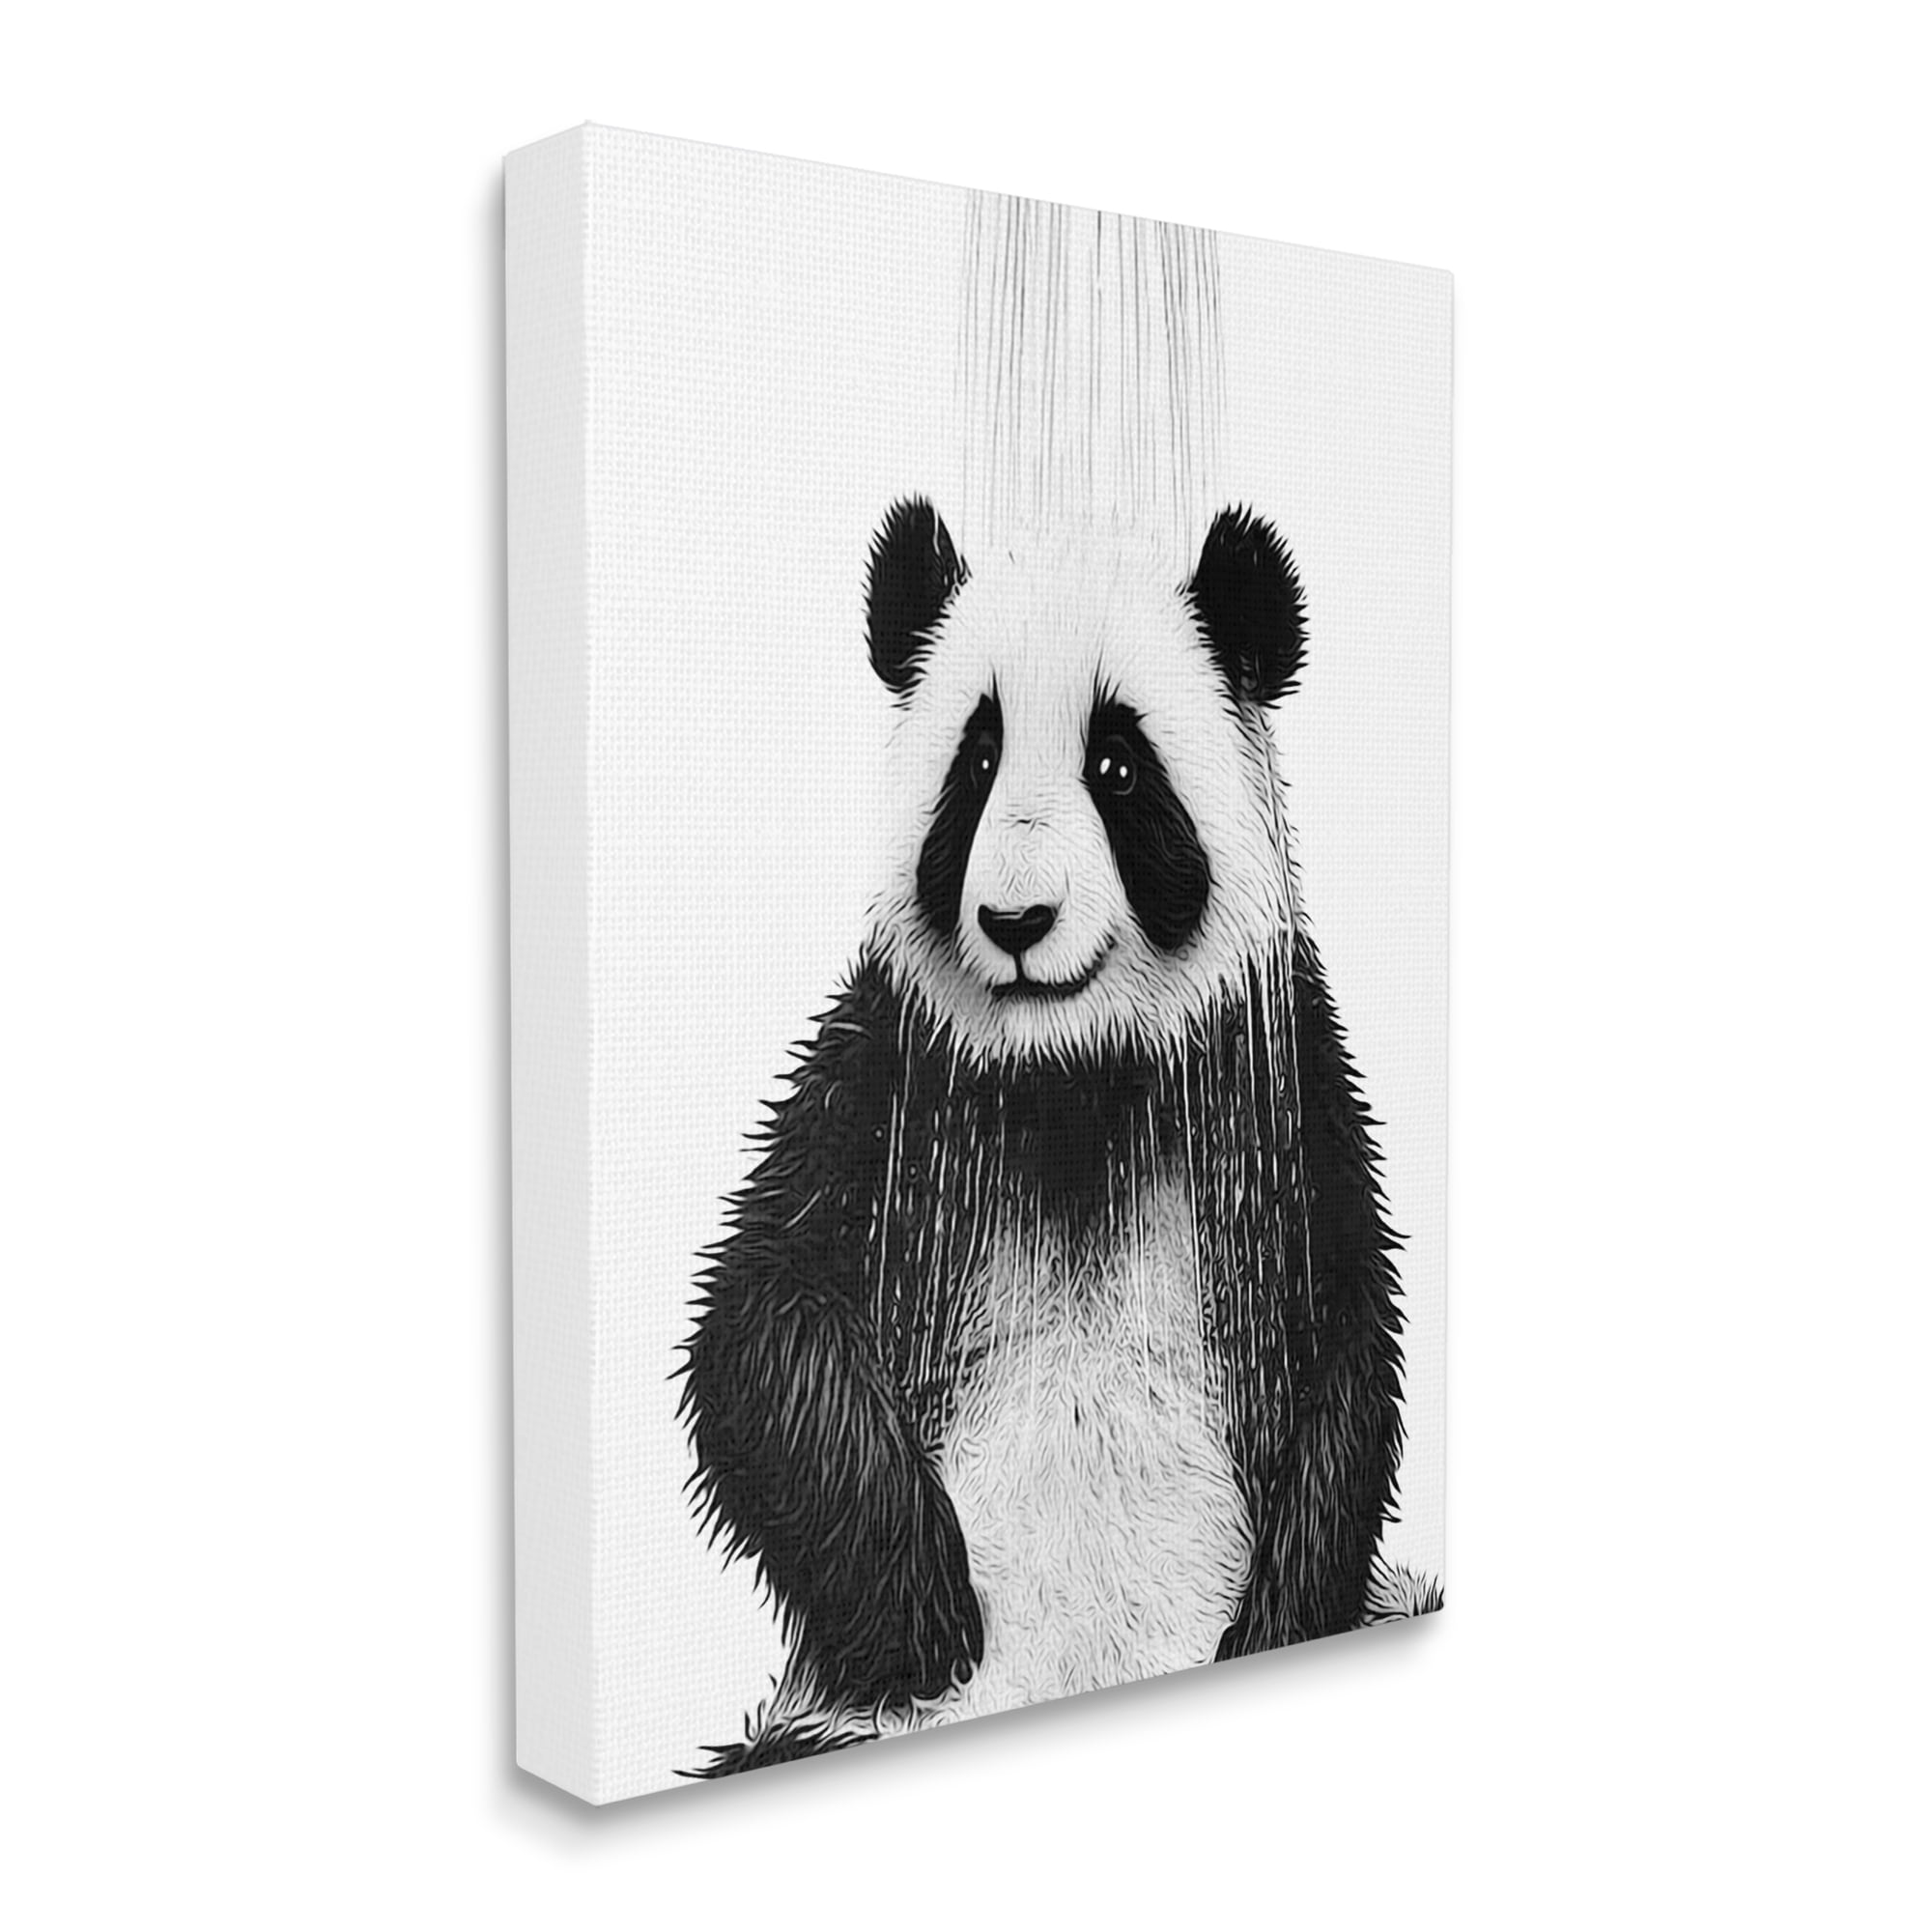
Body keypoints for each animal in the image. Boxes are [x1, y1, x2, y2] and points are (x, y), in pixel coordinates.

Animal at [681, 499, 1413, 1775]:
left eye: (1116, 766)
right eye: (974, 764)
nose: (1016, 919)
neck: (1073, 1071)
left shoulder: (1269, 1070)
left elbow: (1344, 1344)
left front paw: (1274, 1621)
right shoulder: (892, 1066)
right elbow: (763, 1311)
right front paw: (924, 1611)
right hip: (821, 1727)